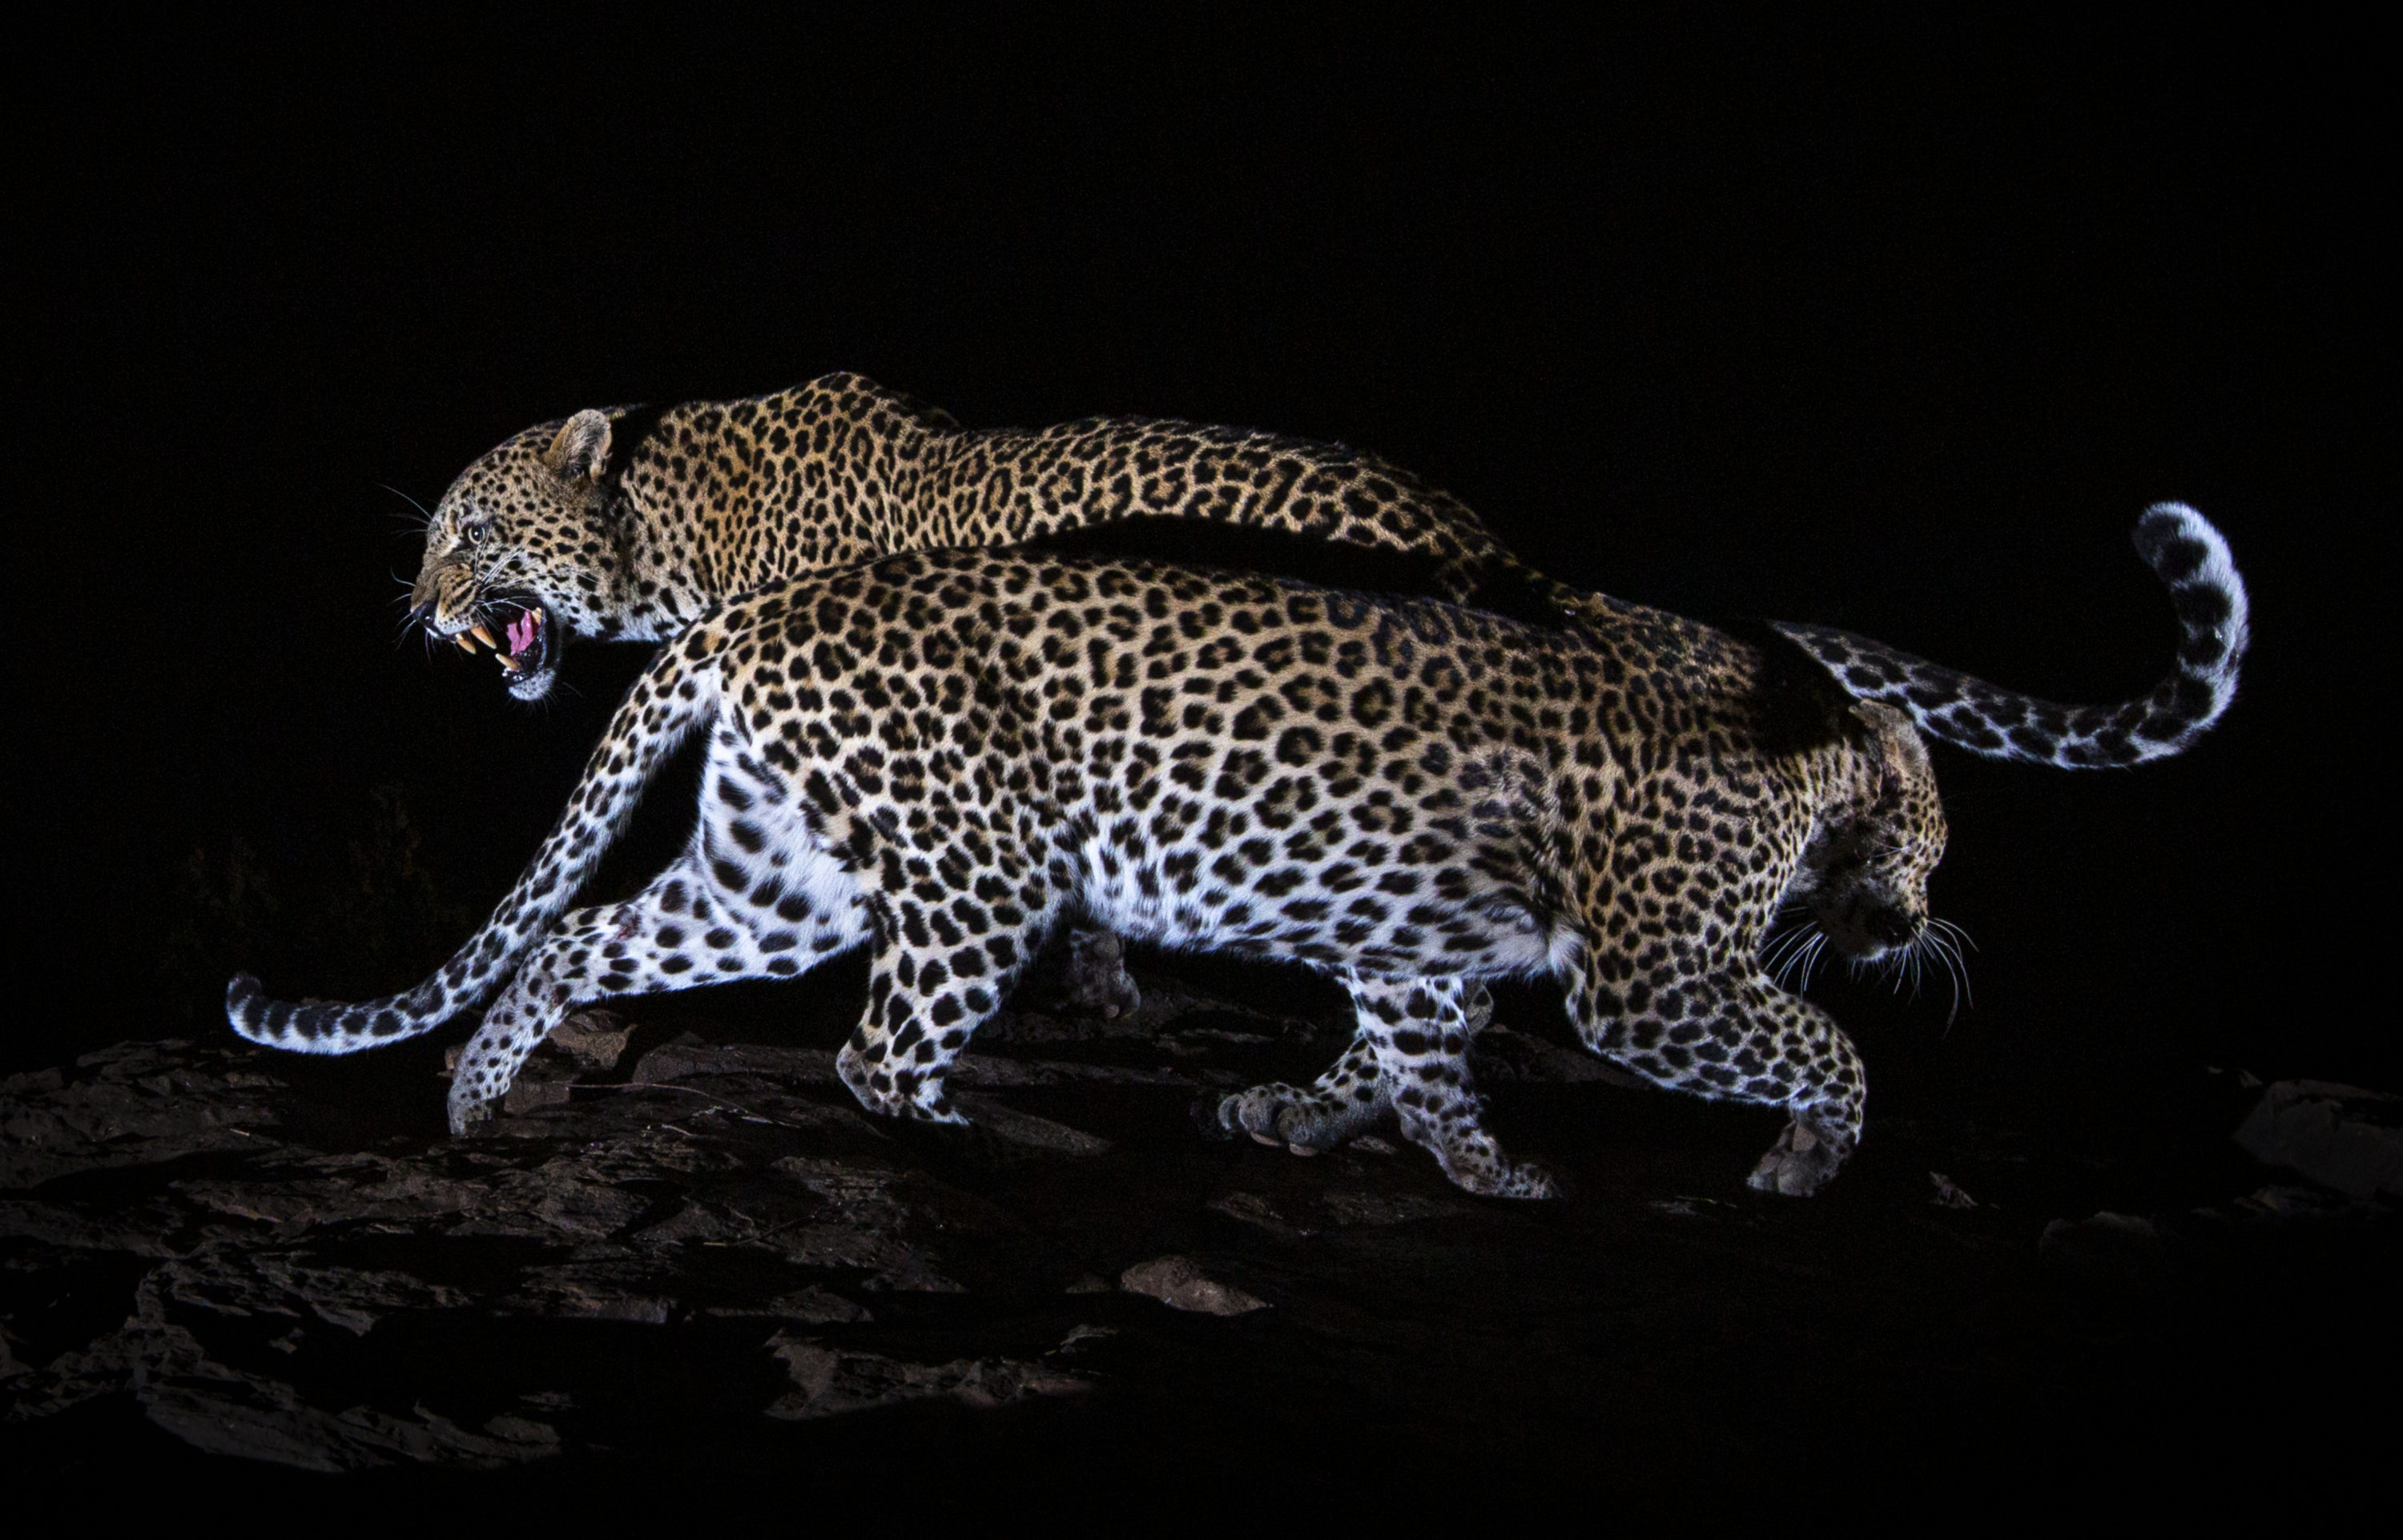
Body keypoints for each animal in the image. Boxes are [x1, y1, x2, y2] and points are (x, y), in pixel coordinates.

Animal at [231, 503, 2247, 1199]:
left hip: (781, 868)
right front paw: (1807, 1156)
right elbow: (1816, 1044)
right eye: (1936, 830)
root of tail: (758, 610)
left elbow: (1408, 1063)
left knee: (586, 938)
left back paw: (476, 1101)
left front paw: (1378, 1142)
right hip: (977, 868)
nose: (1925, 909)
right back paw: (988, 1138)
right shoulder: (1656, 975)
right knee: (878, 1052)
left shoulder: (1427, 953)